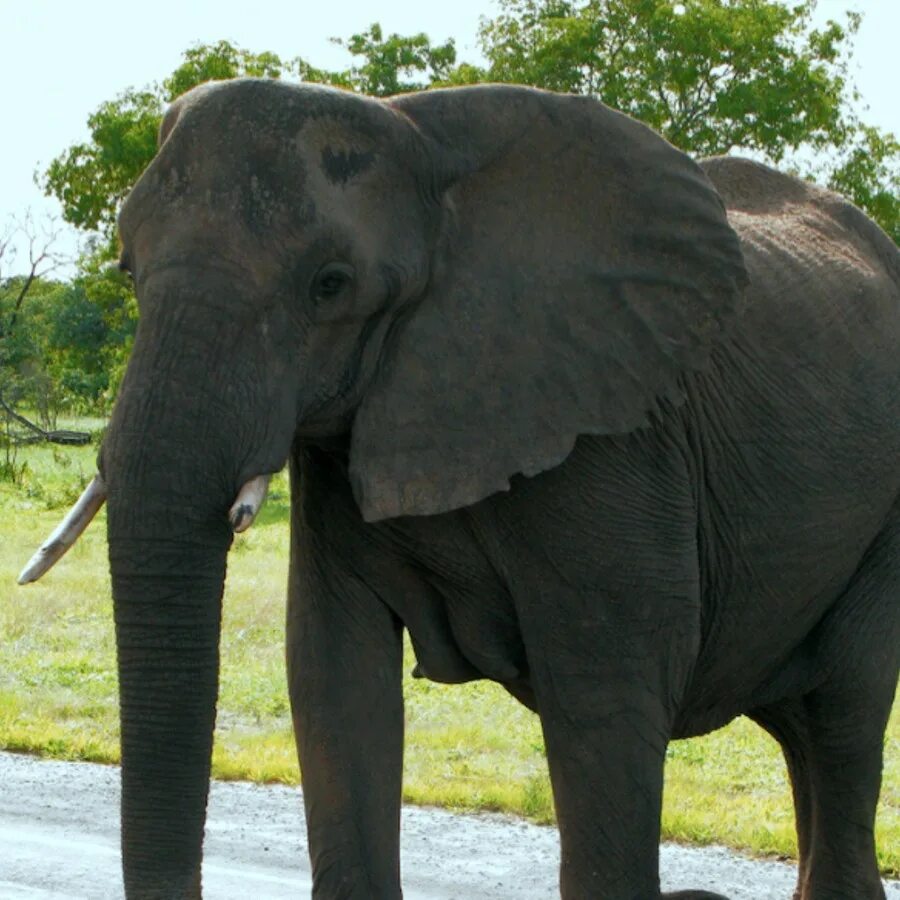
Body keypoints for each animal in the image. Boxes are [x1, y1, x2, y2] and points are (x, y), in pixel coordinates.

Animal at [19, 79, 900, 900]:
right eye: (127, 267)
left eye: (331, 284)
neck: (418, 141)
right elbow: (334, 675)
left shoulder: (611, 435)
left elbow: (606, 698)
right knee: (804, 728)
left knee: (844, 710)